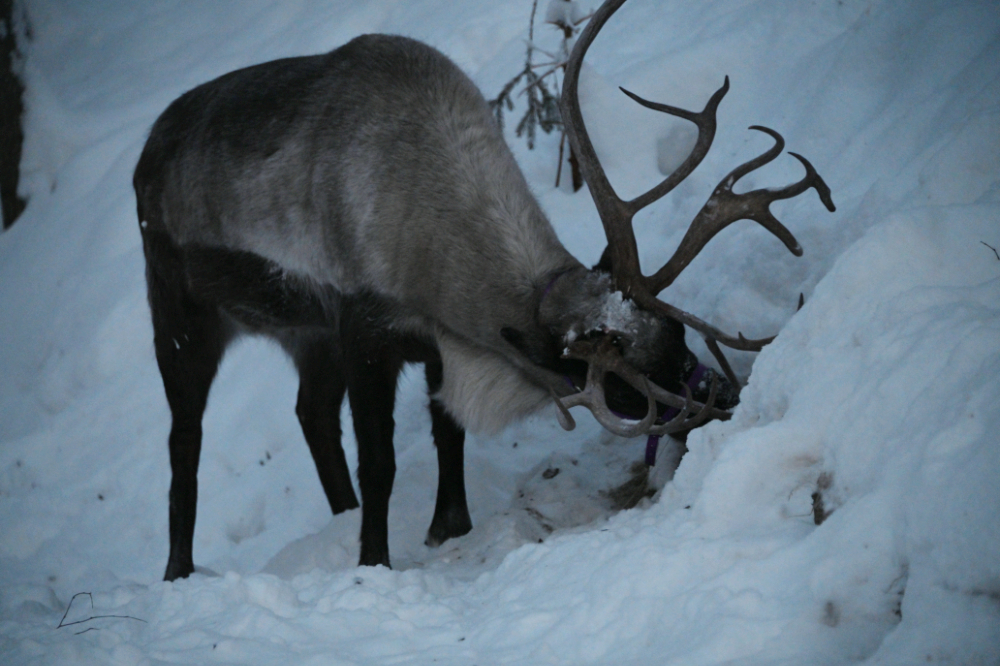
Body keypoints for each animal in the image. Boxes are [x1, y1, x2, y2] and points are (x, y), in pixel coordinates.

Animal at [134, 0, 834, 581]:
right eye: (616, 385)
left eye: (679, 332)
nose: (725, 397)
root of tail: (147, 153)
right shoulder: (364, 331)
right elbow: (380, 462)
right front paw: (373, 563)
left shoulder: (428, 344)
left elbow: (448, 432)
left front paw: (450, 527)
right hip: (181, 308)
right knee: (183, 440)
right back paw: (178, 571)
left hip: (304, 333)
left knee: (310, 414)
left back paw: (339, 518)